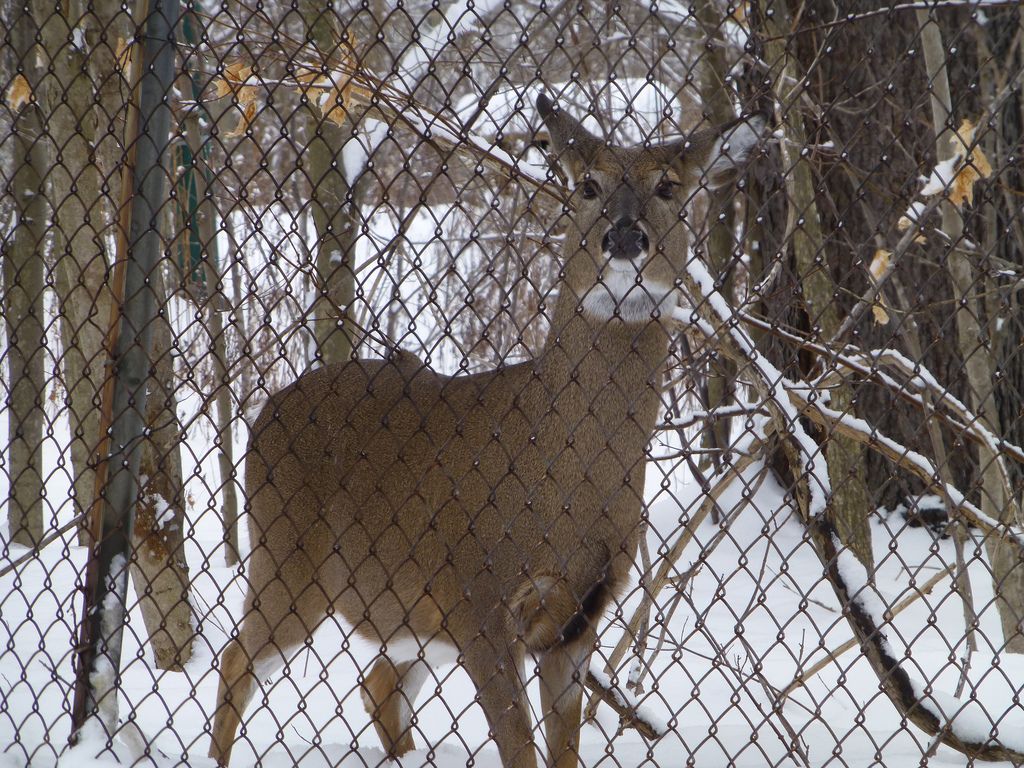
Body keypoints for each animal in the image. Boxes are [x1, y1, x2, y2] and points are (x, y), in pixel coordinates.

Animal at [209, 91, 761, 768]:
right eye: (587, 185)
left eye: (669, 186)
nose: (625, 236)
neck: (562, 479)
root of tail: (264, 410)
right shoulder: (479, 595)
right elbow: (520, 751)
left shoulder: (577, 620)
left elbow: (561, 752)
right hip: (288, 560)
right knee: (237, 659)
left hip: (398, 607)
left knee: (376, 681)